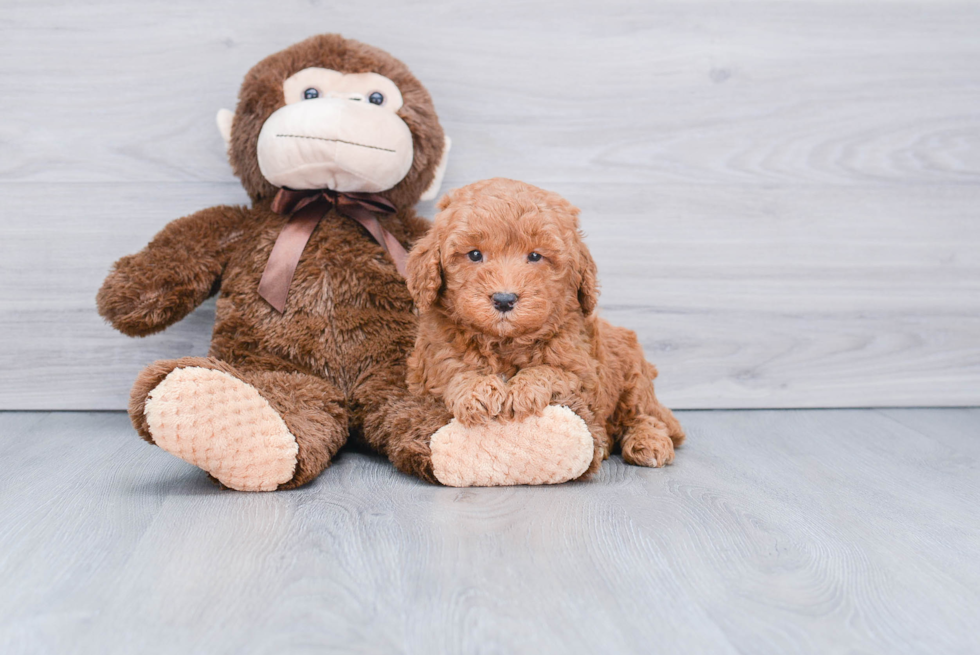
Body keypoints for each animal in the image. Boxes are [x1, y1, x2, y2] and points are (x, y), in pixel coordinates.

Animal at [402, 177, 684, 468]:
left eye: (535, 256)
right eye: (475, 255)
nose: (504, 299)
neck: (505, 342)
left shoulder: (584, 373)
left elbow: (551, 371)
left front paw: (522, 390)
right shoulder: (430, 366)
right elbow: (453, 371)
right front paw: (476, 391)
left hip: (634, 374)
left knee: (645, 416)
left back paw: (648, 442)